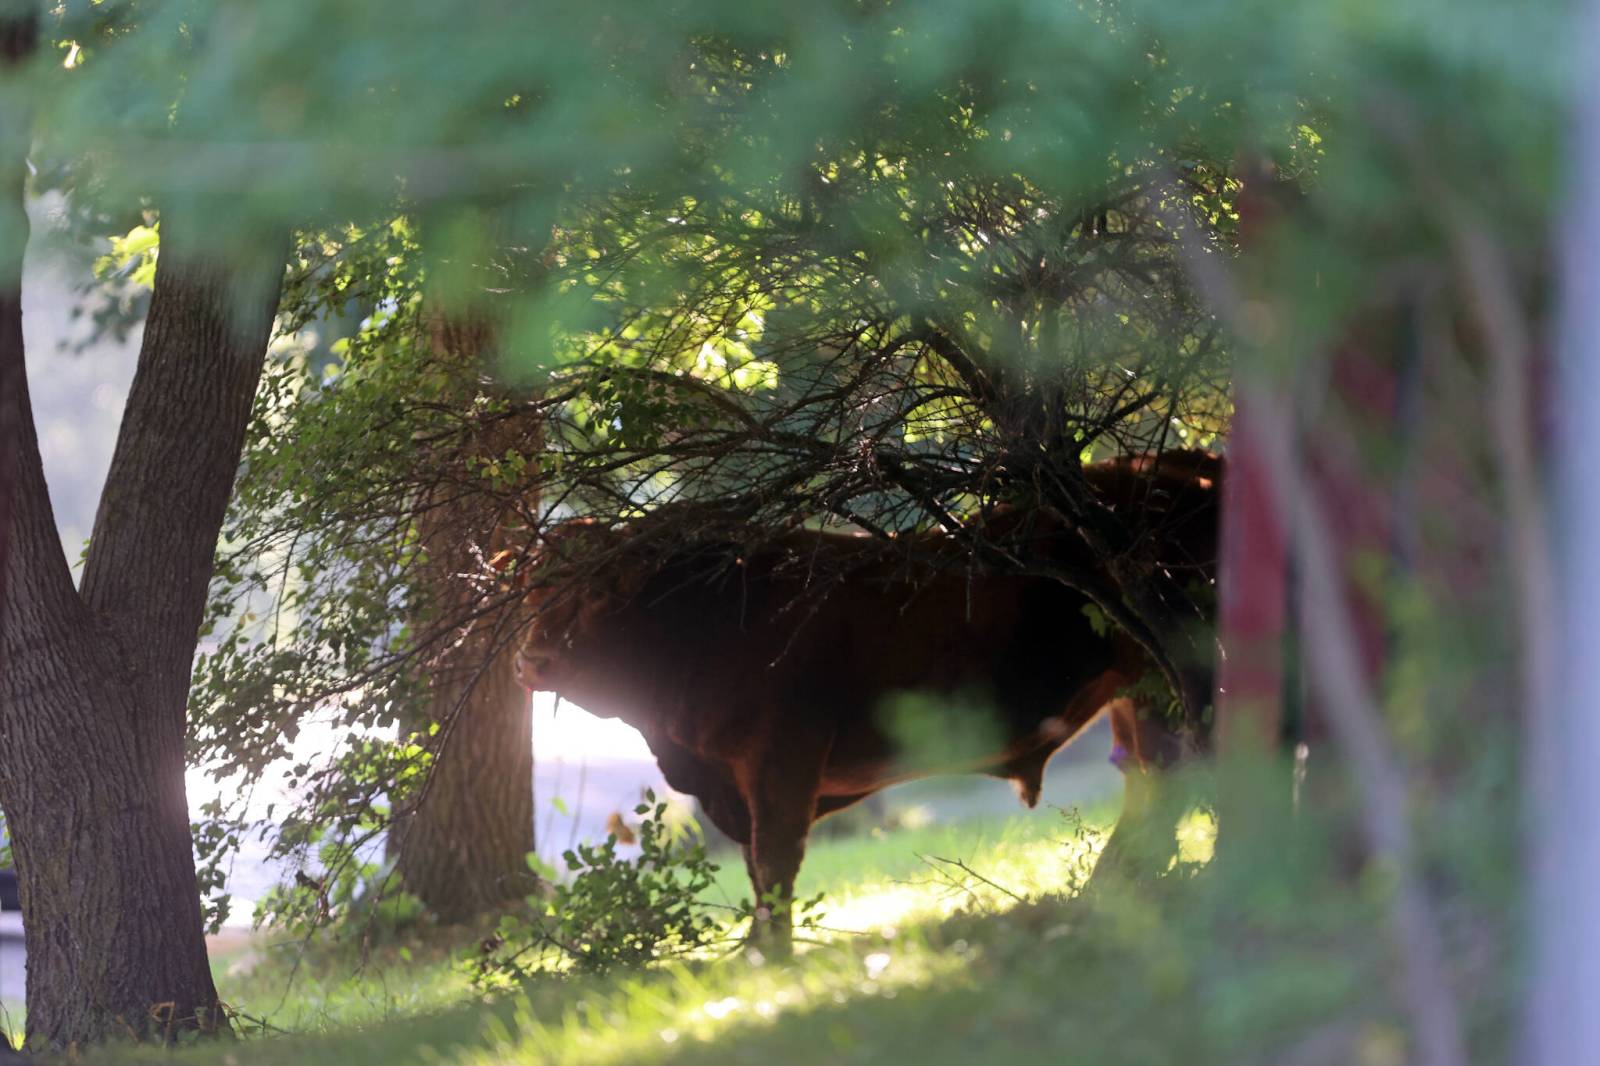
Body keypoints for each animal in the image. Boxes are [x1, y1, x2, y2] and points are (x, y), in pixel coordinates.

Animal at [515, 453, 1220, 950]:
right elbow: (756, 867)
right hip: (1136, 690)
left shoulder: (780, 762)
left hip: (1175, 672)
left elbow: (774, 860)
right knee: (1152, 779)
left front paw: (768, 952)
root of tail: (1175, 465)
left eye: (597, 591)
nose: (532, 659)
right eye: (529, 590)